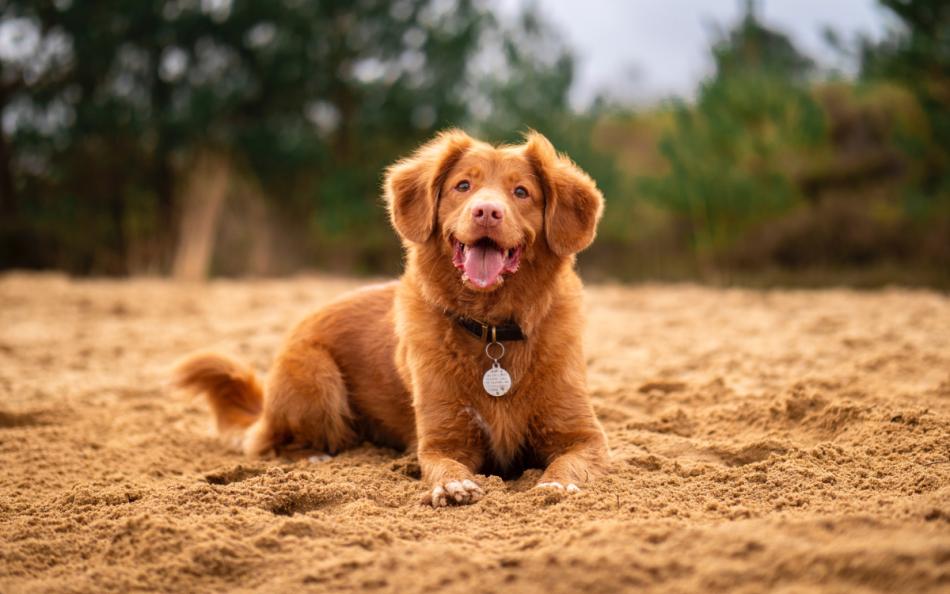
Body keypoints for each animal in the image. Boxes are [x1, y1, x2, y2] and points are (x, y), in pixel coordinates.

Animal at [173, 130, 608, 504]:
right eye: (463, 186)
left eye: (521, 192)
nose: (487, 211)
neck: (493, 331)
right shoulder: (441, 441)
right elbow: (443, 466)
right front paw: (453, 486)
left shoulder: (585, 436)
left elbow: (569, 463)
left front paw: (556, 485)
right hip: (317, 376)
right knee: (271, 444)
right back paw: (317, 456)